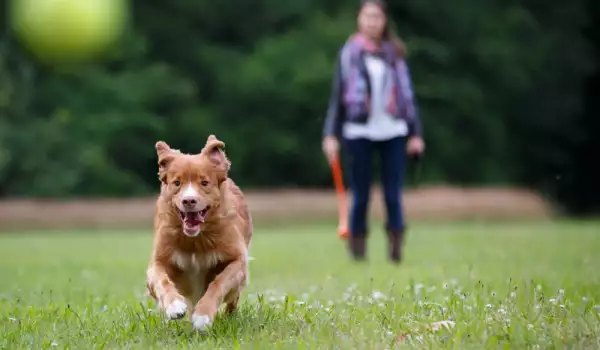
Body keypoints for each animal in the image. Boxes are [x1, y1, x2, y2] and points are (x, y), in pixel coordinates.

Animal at [146, 134, 252, 330]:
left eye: (204, 183)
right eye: (177, 183)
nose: (189, 200)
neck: (196, 240)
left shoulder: (238, 260)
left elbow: (219, 282)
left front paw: (203, 316)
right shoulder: (158, 260)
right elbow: (161, 280)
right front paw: (174, 306)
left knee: (233, 299)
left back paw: (229, 316)